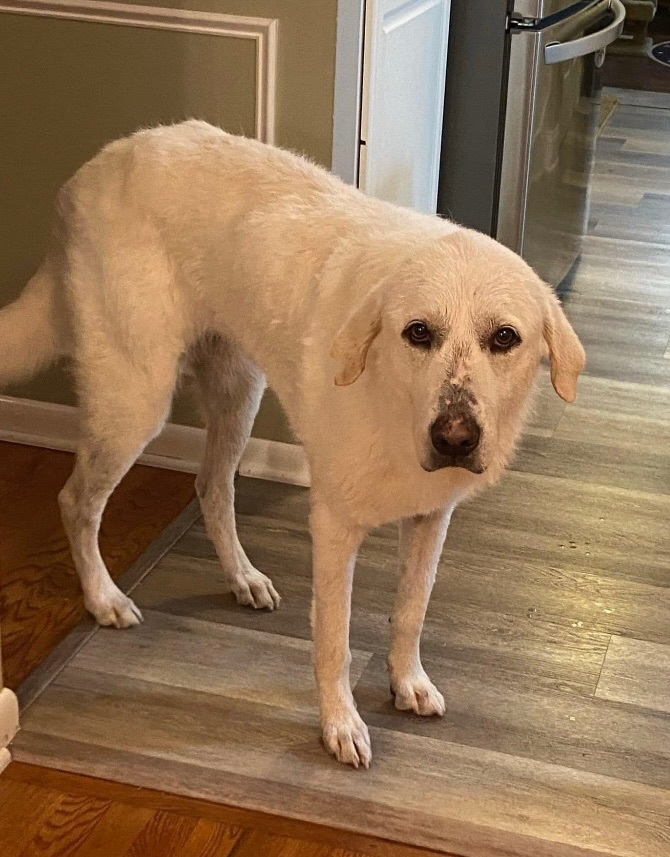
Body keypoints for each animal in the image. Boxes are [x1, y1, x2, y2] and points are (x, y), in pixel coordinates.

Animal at [0, 122, 584, 768]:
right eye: (418, 333)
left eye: (505, 338)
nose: (454, 439)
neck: (393, 400)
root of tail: (97, 165)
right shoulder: (333, 528)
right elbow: (334, 640)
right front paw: (340, 724)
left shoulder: (432, 518)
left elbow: (411, 610)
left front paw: (407, 682)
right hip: (135, 400)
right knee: (76, 502)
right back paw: (103, 597)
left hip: (239, 393)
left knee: (211, 486)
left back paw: (242, 577)